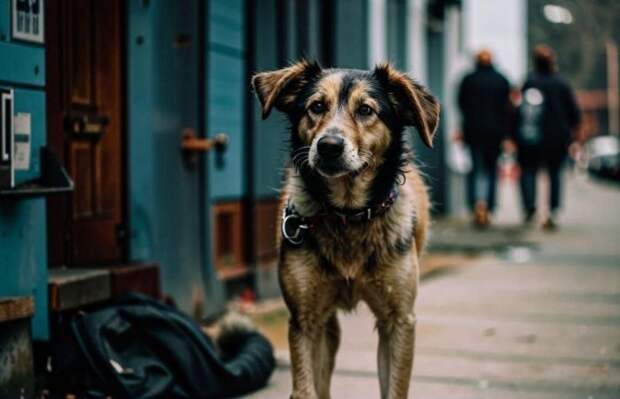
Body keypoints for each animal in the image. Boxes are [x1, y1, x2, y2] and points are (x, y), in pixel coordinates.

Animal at [252, 60, 440, 399]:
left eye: (366, 110)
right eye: (316, 106)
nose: (328, 146)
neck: (349, 215)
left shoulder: (399, 321)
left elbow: (394, 388)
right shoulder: (305, 320)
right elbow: (306, 388)